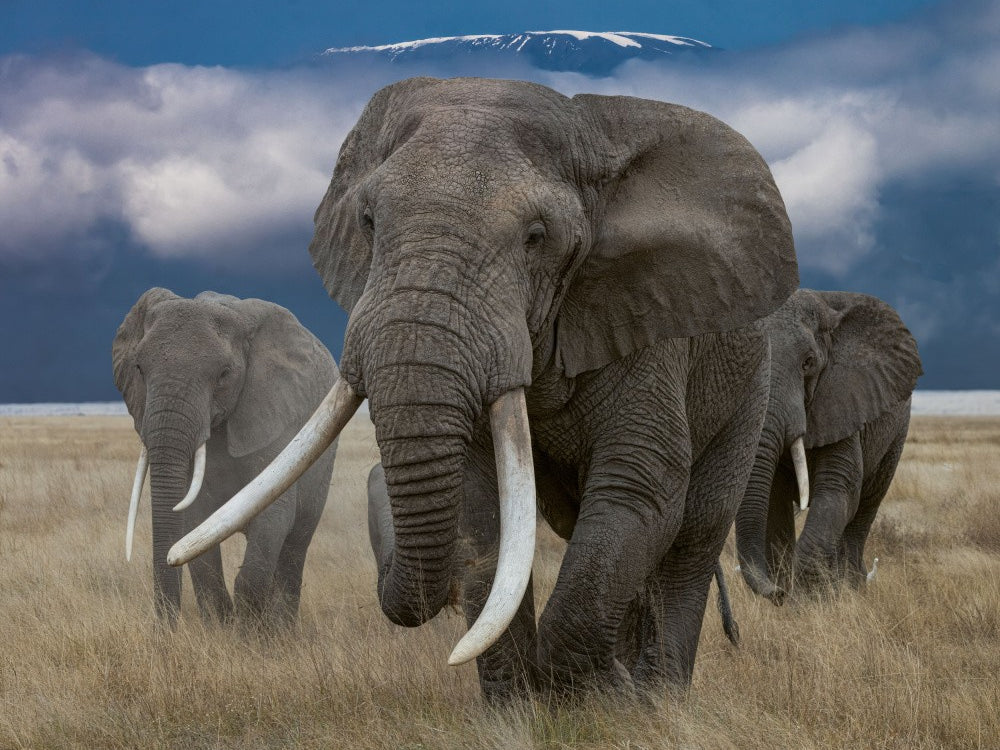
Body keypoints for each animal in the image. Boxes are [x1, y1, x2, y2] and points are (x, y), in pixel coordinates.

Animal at [112, 288, 339, 627]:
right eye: (138, 368)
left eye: (223, 375)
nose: (165, 632)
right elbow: (195, 520)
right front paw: (222, 628)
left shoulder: (273, 412)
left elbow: (273, 513)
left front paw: (251, 632)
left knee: (297, 540)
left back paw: (282, 629)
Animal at [169, 77, 798, 698]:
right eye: (368, 222)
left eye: (536, 237)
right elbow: (478, 506)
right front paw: (518, 708)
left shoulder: (641, 317)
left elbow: (638, 484)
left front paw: (600, 698)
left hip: (749, 383)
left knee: (692, 537)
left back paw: (658, 696)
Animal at [734, 289, 922, 602]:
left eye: (808, 362)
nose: (778, 594)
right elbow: (773, 499)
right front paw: (794, 594)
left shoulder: (843, 397)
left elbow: (839, 488)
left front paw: (810, 601)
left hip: (896, 434)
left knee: (866, 506)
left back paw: (850, 587)